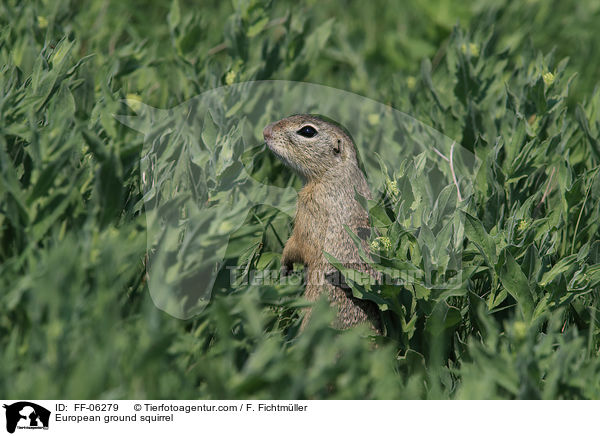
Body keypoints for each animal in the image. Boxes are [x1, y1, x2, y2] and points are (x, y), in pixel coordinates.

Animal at [262, 114, 380, 332]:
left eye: (308, 131)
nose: (266, 131)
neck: (335, 173)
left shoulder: (311, 212)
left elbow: (298, 245)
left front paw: (284, 266)